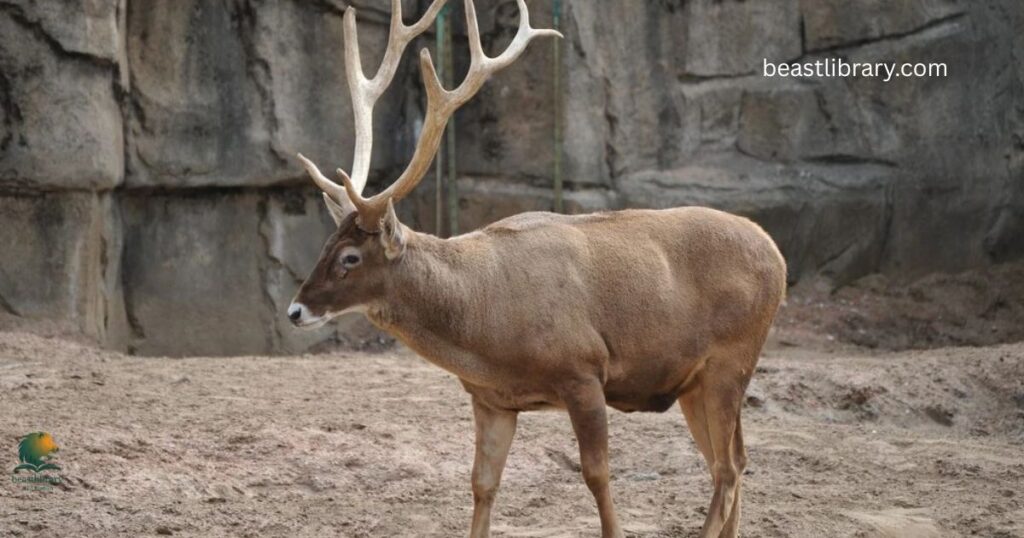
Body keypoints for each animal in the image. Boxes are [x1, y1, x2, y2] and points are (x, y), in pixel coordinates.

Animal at [286, 1, 787, 536]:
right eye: (325, 244)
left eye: (350, 257)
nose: (295, 310)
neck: (488, 330)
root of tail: (778, 256)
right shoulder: (491, 399)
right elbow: (482, 484)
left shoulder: (583, 369)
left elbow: (597, 476)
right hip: (695, 380)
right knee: (733, 460)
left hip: (732, 358)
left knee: (727, 467)